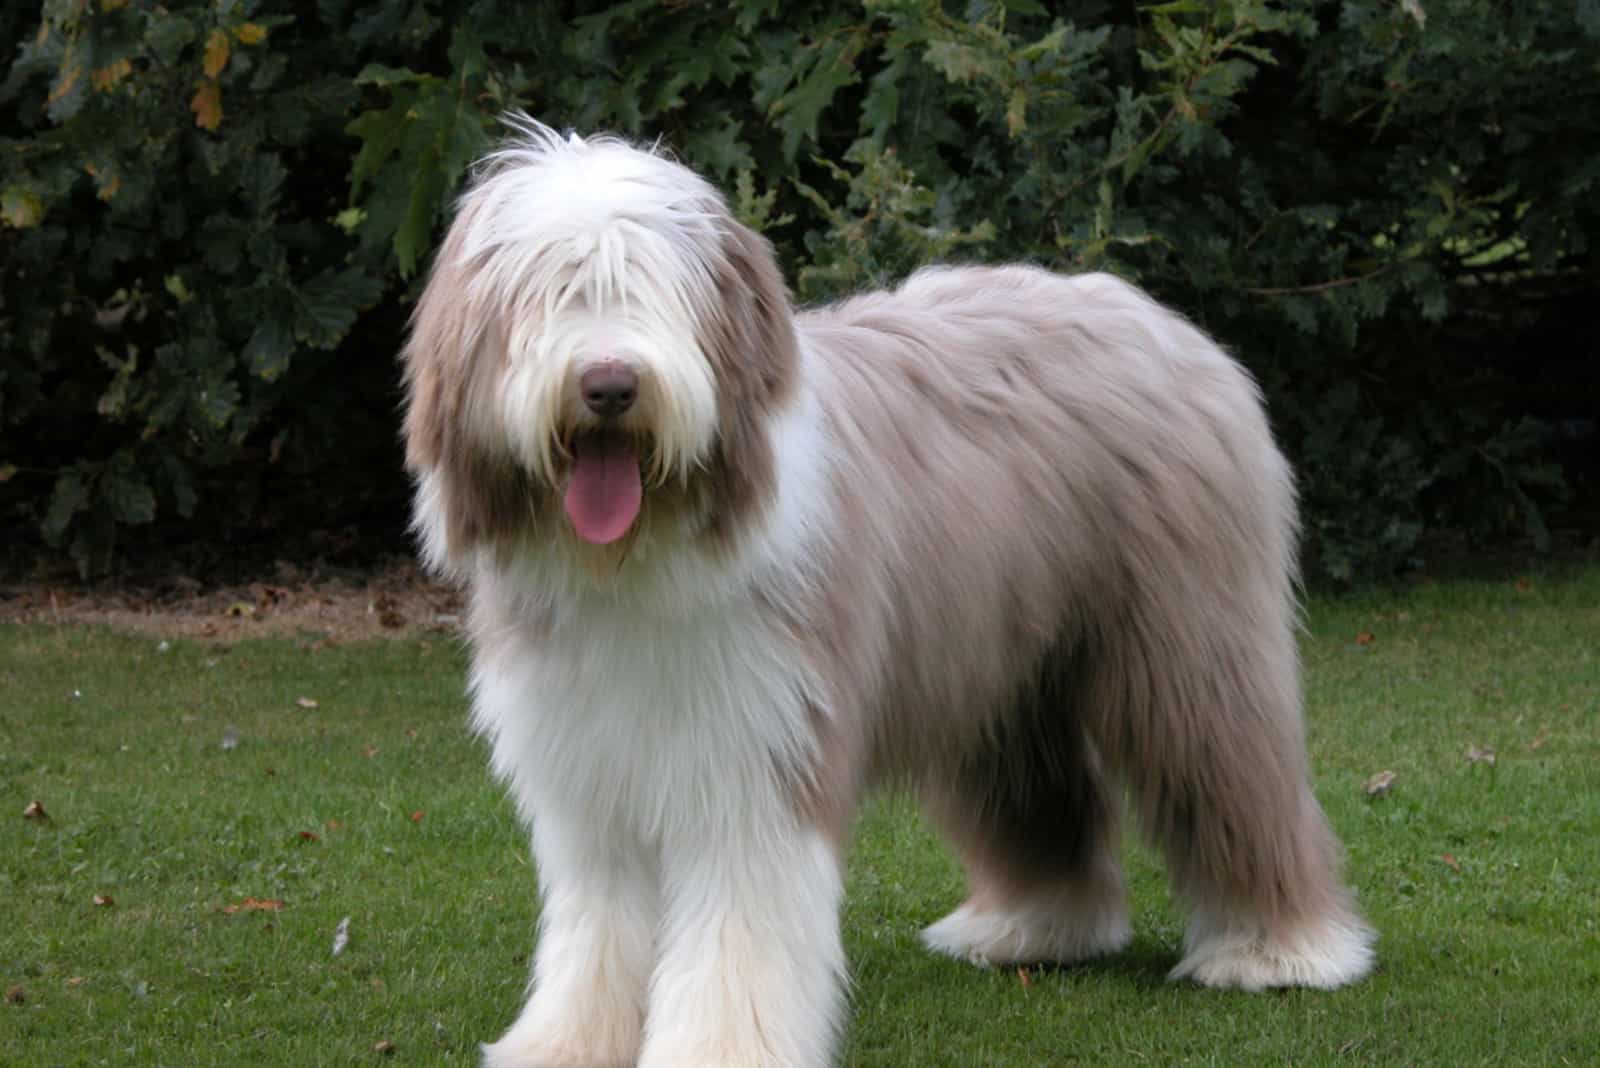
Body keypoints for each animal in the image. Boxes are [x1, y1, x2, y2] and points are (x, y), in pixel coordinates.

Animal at [403, 116, 1376, 1068]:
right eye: (547, 295)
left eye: (653, 290)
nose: (610, 384)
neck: (638, 559)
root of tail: (1158, 319)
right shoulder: (586, 772)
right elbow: (596, 931)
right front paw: (565, 1044)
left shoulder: (761, 752)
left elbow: (736, 936)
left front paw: (720, 1049)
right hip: (1001, 669)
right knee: (1039, 788)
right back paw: (1034, 928)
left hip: (1186, 643)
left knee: (1230, 771)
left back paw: (1280, 950)